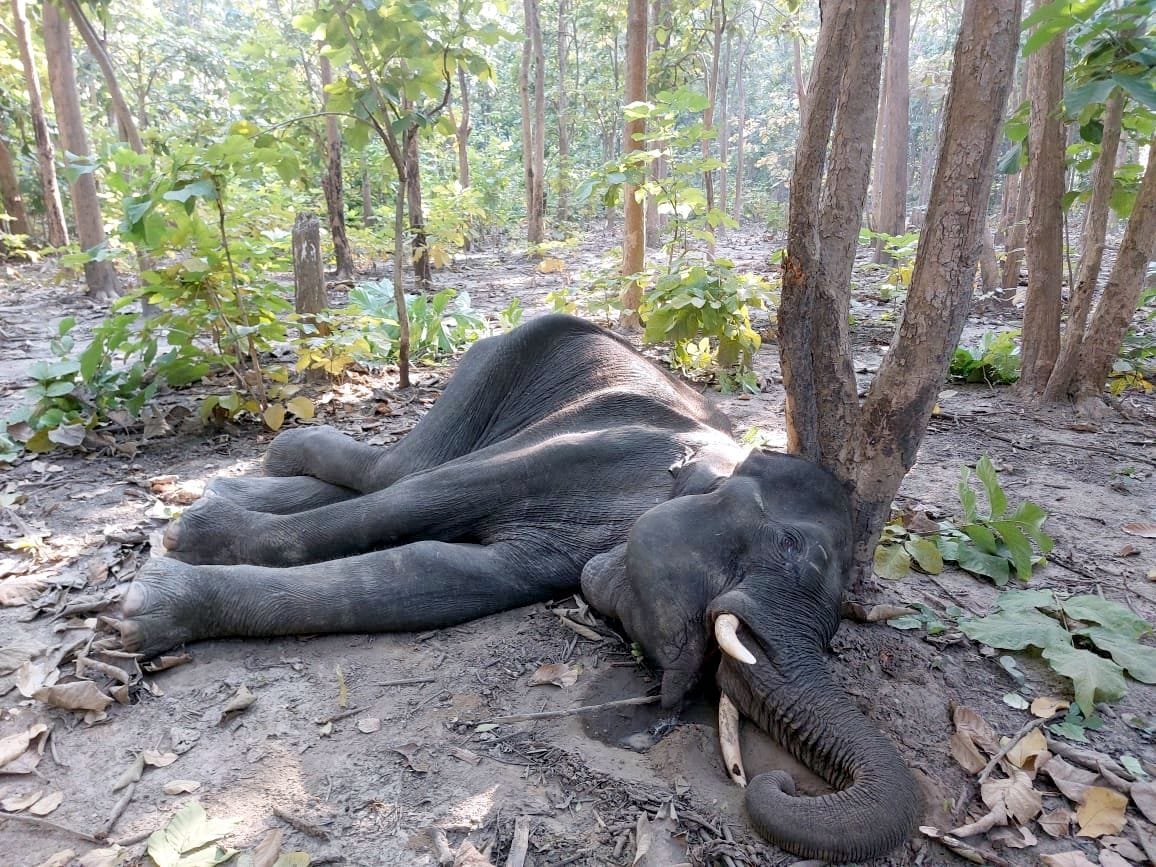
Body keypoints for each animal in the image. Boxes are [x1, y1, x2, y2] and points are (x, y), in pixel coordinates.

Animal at [118, 313, 920, 862]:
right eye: (791, 548)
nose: (779, 782)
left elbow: (435, 579)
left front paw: (153, 603)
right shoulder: (601, 447)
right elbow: (413, 505)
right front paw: (163, 576)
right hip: (501, 360)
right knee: (397, 469)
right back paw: (240, 479)